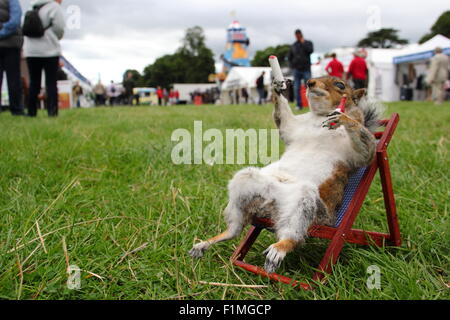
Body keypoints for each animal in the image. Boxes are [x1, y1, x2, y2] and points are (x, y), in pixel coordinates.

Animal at [189, 75, 384, 272]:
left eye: (340, 85)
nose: (310, 83)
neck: (319, 117)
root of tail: (269, 206)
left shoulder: (354, 155)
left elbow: (367, 150)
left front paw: (342, 117)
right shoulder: (293, 127)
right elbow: (284, 120)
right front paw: (277, 86)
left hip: (307, 205)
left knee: (293, 233)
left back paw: (280, 247)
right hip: (246, 183)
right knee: (236, 228)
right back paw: (209, 242)